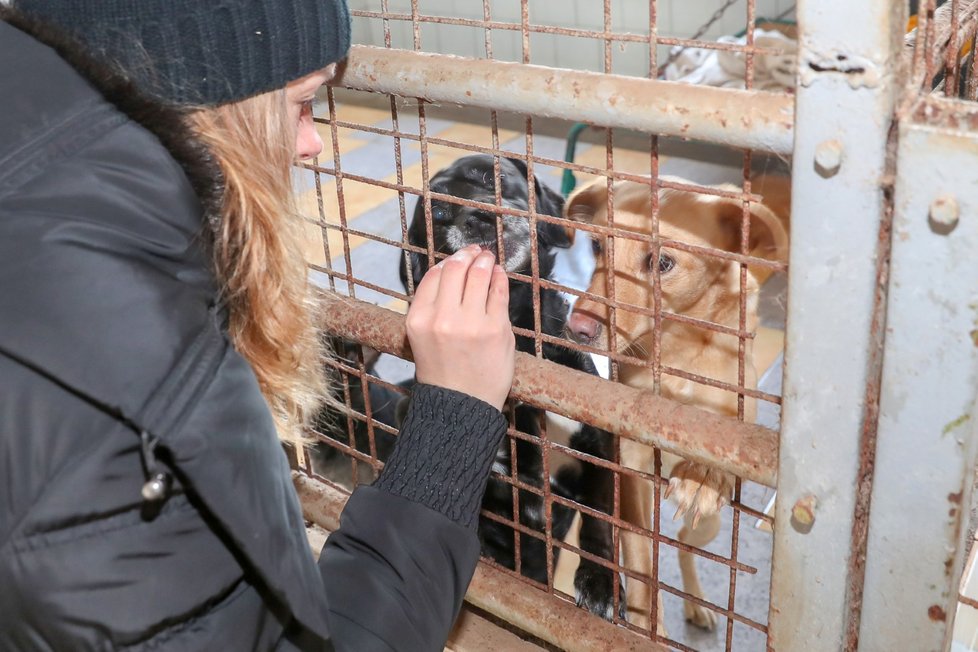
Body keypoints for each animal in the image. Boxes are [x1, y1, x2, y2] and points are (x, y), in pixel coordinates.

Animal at [398, 154, 616, 620]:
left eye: (489, 175)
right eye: (437, 214)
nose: (477, 217)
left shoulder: (598, 445)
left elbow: (601, 524)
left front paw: (601, 584)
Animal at [564, 176, 784, 636]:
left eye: (663, 262)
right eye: (597, 246)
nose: (579, 329)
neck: (676, 348)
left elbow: (730, 439)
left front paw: (703, 476)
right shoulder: (631, 469)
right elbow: (642, 566)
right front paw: (647, 624)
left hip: (711, 525)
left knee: (683, 543)